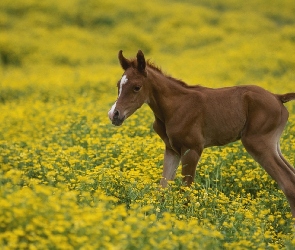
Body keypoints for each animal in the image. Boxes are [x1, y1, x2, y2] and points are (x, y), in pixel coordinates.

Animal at [108, 50, 295, 217]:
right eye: (118, 85)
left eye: (136, 87)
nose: (114, 114)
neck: (175, 106)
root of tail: (277, 97)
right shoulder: (172, 150)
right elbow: (163, 187)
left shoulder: (193, 149)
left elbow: (185, 189)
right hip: (273, 144)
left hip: (257, 143)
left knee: (287, 183)